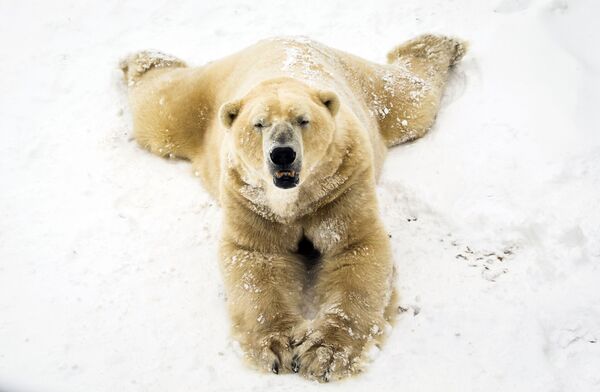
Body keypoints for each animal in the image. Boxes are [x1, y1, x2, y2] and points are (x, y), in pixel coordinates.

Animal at [120, 34, 468, 382]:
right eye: (259, 124)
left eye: (303, 120)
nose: (282, 154)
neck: (295, 198)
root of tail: (286, 37)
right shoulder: (249, 197)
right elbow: (258, 258)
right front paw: (278, 348)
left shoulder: (342, 182)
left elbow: (355, 247)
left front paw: (324, 354)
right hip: (205, 95)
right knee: (160, 110)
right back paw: (143, 58)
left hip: (365, 87)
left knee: (410, 98)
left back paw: (441, 44)